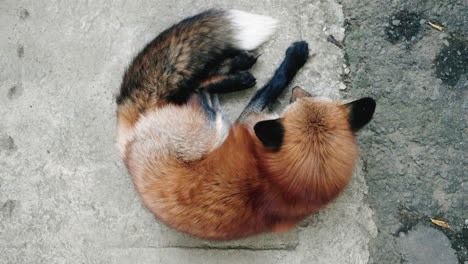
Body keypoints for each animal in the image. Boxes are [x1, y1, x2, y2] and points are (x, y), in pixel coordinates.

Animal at [116, 8, 376, 239]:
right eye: (304, 97)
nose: (297, 90)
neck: (284, 182)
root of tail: (128, 136)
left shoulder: (251, 119)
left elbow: (273, 83)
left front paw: (293, 59)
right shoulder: (252, 119)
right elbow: (275, 83)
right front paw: (296, 57)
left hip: (214, 126)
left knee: (199, 87)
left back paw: (239, 71)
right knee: (198, 85)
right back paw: (240, 65)